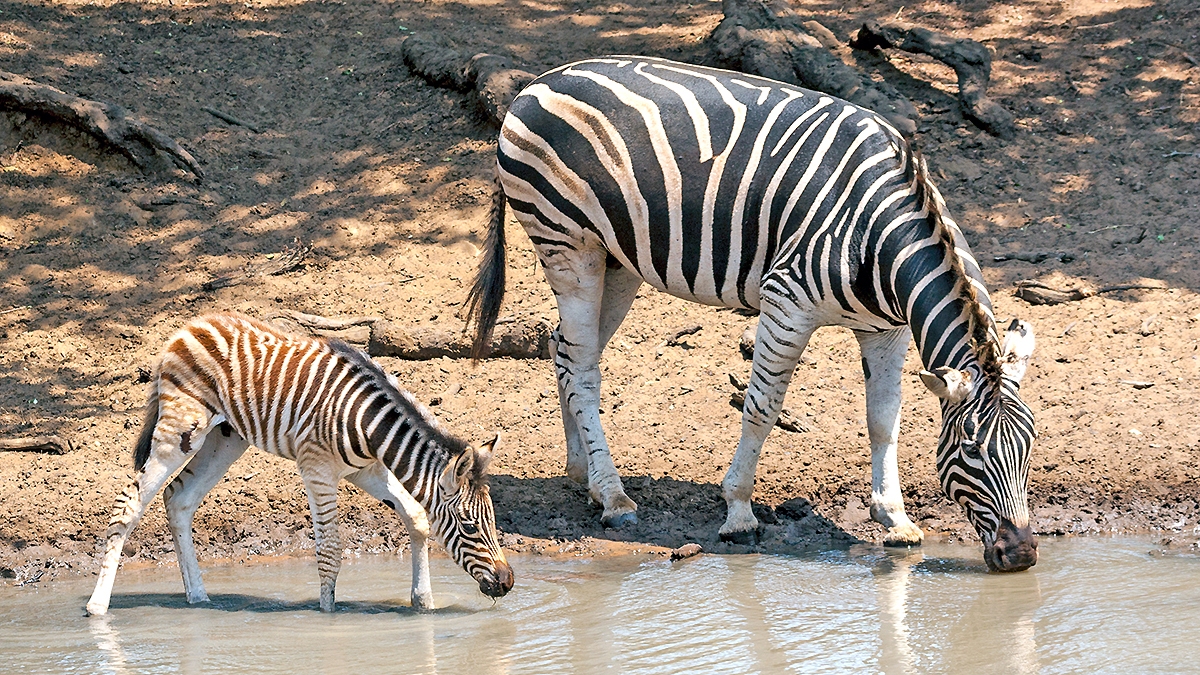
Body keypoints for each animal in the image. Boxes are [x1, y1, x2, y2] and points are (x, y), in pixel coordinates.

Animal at [85, 313, 513, 616]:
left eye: (494, 521)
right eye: (471, 527)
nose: (508, 582)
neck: (369, 424)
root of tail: (187, 327)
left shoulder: (368, 470)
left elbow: (417, 518)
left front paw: (423, 603)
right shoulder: (317, 469)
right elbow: (330, 549)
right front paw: (327, 616)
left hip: (226, 439)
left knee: (178, 499)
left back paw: (199, 597)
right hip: (179, 431)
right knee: (128, 504)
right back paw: (97, 607)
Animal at [466, 56, 1039, 572]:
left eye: (1032, 446)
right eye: (970, 451)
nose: (1022, 556)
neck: (879, 239)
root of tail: (536, 83)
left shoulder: (888, 330)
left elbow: (883, 420)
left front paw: (895, 519)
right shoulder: (787, 302)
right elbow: (762, 407)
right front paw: (738, 510)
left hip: (617, 258)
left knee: (564, 351)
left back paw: (582, 474)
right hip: (568, 245)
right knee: (583, 367)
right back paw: (614, 498)